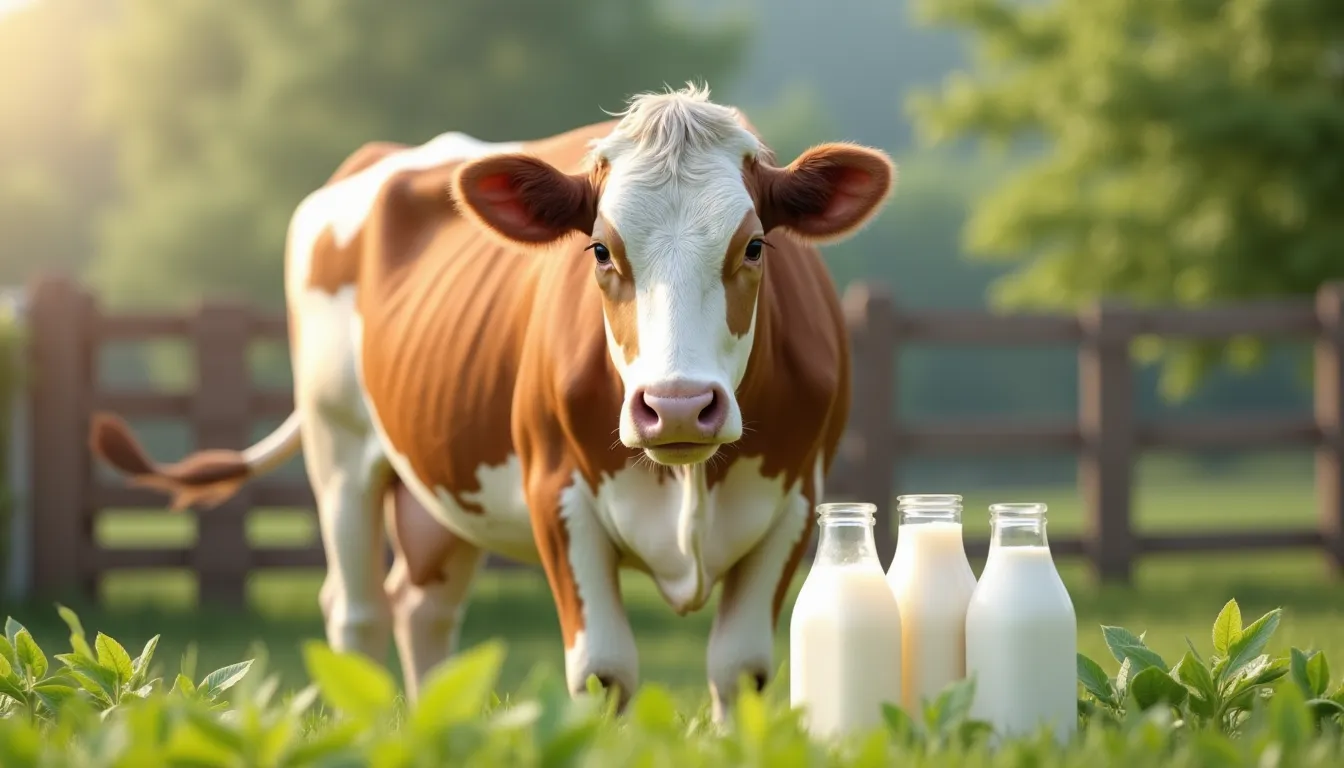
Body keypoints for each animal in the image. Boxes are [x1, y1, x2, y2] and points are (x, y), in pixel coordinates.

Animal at [89, 83, 895, 720]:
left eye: (754, 246)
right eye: (601, 250)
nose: (675, 405)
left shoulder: (798, 497)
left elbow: (740, 669)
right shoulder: (556, 494)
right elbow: (603, 672)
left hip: (441, 483)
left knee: (423, 608)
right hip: (337, 447)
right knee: (356, 613)